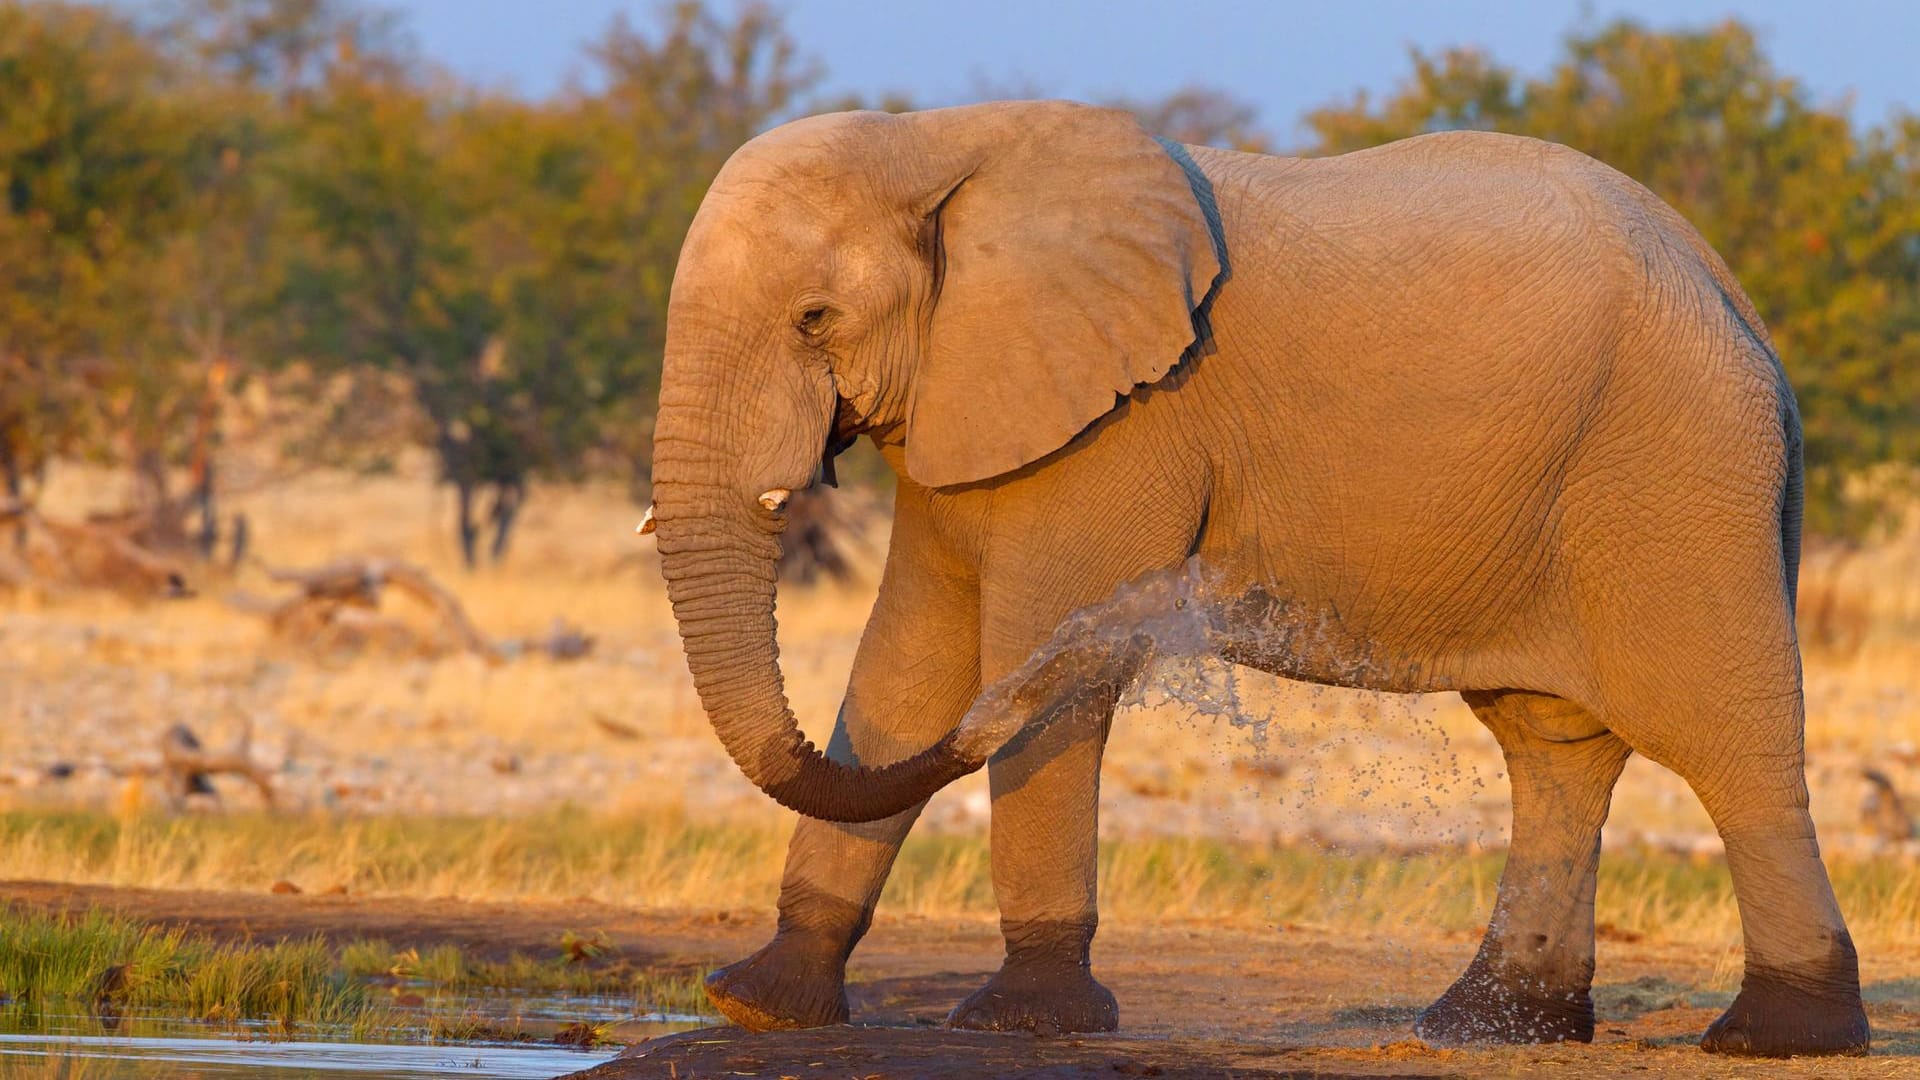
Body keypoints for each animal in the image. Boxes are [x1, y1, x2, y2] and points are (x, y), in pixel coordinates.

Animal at [641, 96, 1858, 1053]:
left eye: (814, 319)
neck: (935, 139)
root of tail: (1730, 290)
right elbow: (906, 671)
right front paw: (756, 1004)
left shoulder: (1126, 421)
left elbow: (1034, 662)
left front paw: (1023, 1021)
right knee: (1553, 745)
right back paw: (1487, 1025)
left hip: (1676, 470)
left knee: (1724, 738)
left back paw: (1779, 1033)